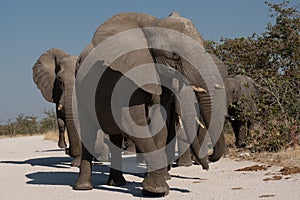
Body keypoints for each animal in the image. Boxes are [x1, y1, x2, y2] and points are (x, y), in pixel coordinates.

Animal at [74, 11, 226, 196]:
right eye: (175, 55)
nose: (207, 163)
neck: (152, 26)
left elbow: (160, 124)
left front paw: (154, 189)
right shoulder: (126, 74)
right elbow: (133, 122)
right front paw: (157, 190)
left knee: (116, 136)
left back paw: (117, 183)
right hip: (79, 87)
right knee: (88, 131)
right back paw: (83, 187)